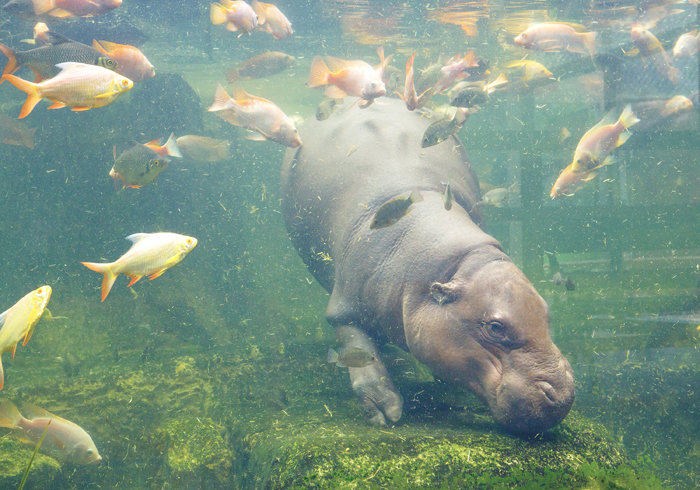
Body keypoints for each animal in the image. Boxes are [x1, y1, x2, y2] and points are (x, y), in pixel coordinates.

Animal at [280, 98, 575, 434]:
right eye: (495, 327)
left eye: (546, 313)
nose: (563, 395)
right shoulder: (343, 310)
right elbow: (361, 354)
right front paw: (386, 412)